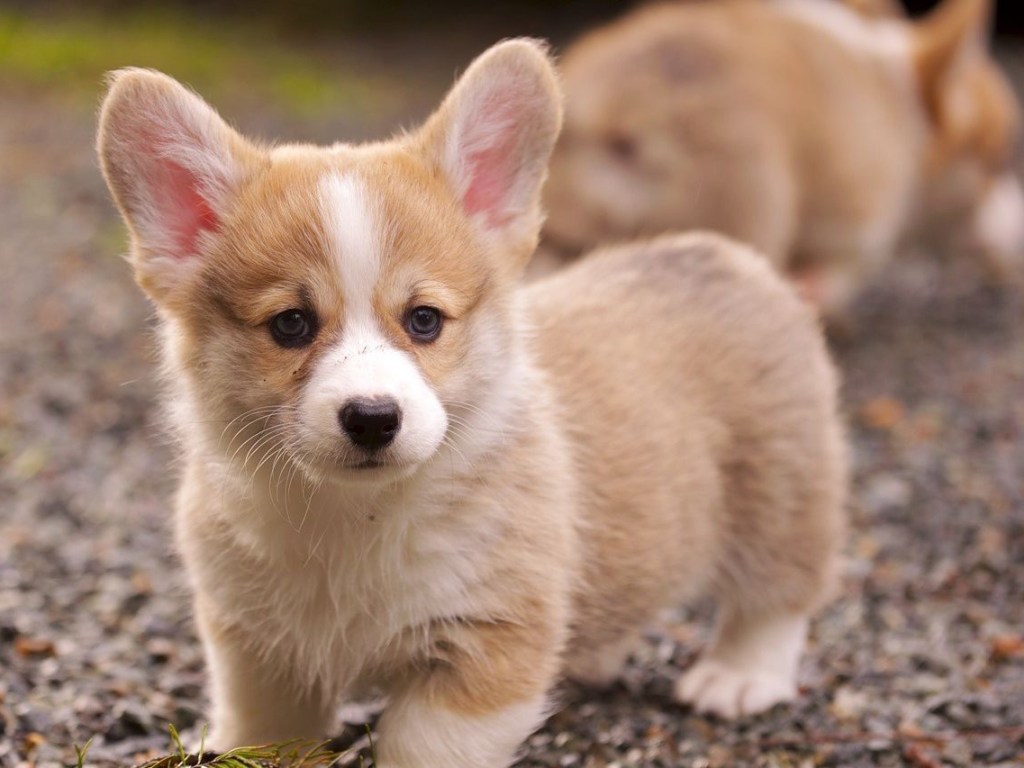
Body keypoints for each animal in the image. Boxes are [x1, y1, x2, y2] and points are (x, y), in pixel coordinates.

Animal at [97, 40, 847, 768]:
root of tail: (719, 253)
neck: (355, 516)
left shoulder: (485, 645)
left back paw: (738, 676)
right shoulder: (257, 647)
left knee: (779, 593)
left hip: (782, 494)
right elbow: (265, 731)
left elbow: (423, 748)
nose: (372, 418)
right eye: (291, 325)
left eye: (425, 319)